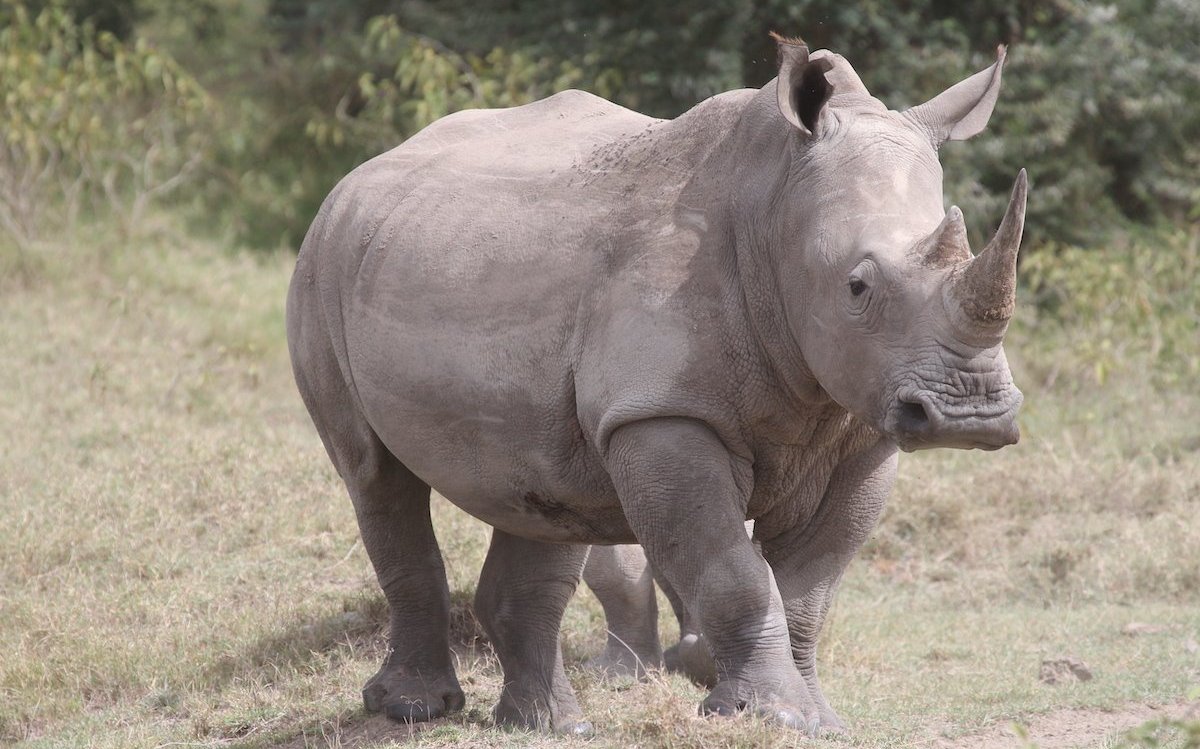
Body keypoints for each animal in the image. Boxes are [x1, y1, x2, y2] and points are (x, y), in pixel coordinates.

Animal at [285, 32, 1027, 734]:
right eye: (857, 285)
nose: (972, 414)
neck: (774, 208)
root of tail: (362, 174)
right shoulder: (661, 411)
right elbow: (736, 576)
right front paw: (768, 715)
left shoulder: (863, 428)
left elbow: (807, 589)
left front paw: (817, 718)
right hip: (325, 262)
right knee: (375, 474)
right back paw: (414, 709)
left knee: (537, 491)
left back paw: (550, 725)